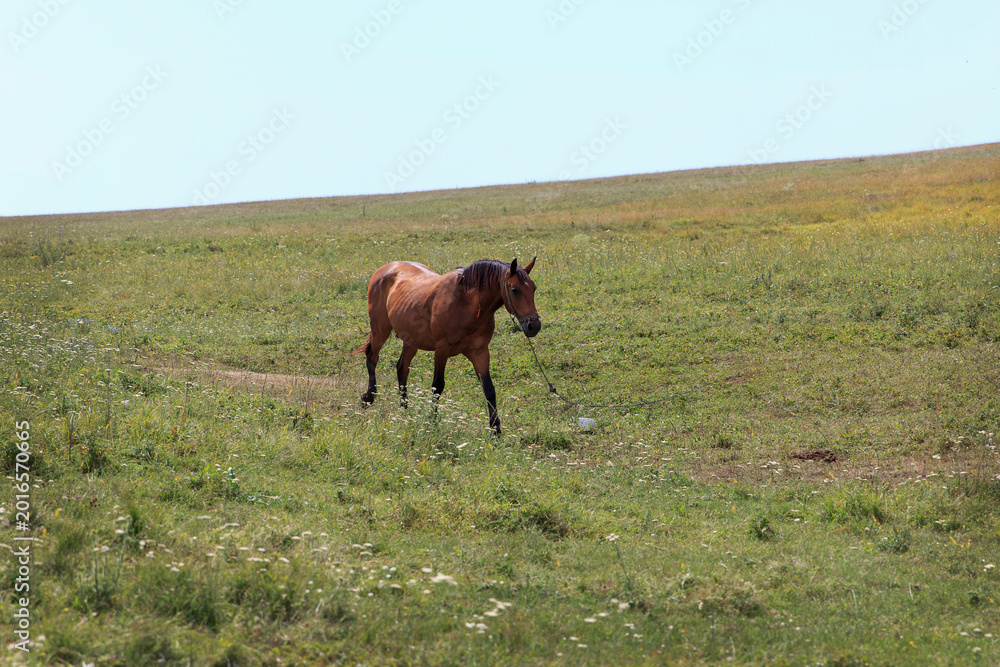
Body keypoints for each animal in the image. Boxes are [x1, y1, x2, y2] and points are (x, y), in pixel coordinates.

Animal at [356, 257, 540, 435]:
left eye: (534, 288)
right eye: (515, 290)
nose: (534, 326)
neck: (466, 303)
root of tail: (384, 269)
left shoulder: (480, 352)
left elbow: (489, 389)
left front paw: (496, 430)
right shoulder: (442, 350)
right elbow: (437, 386)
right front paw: (432, 421)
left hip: (411, 340)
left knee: (402, 368)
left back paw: (404, 410)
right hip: (380, 330)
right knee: (372, 358)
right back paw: (369, 397)